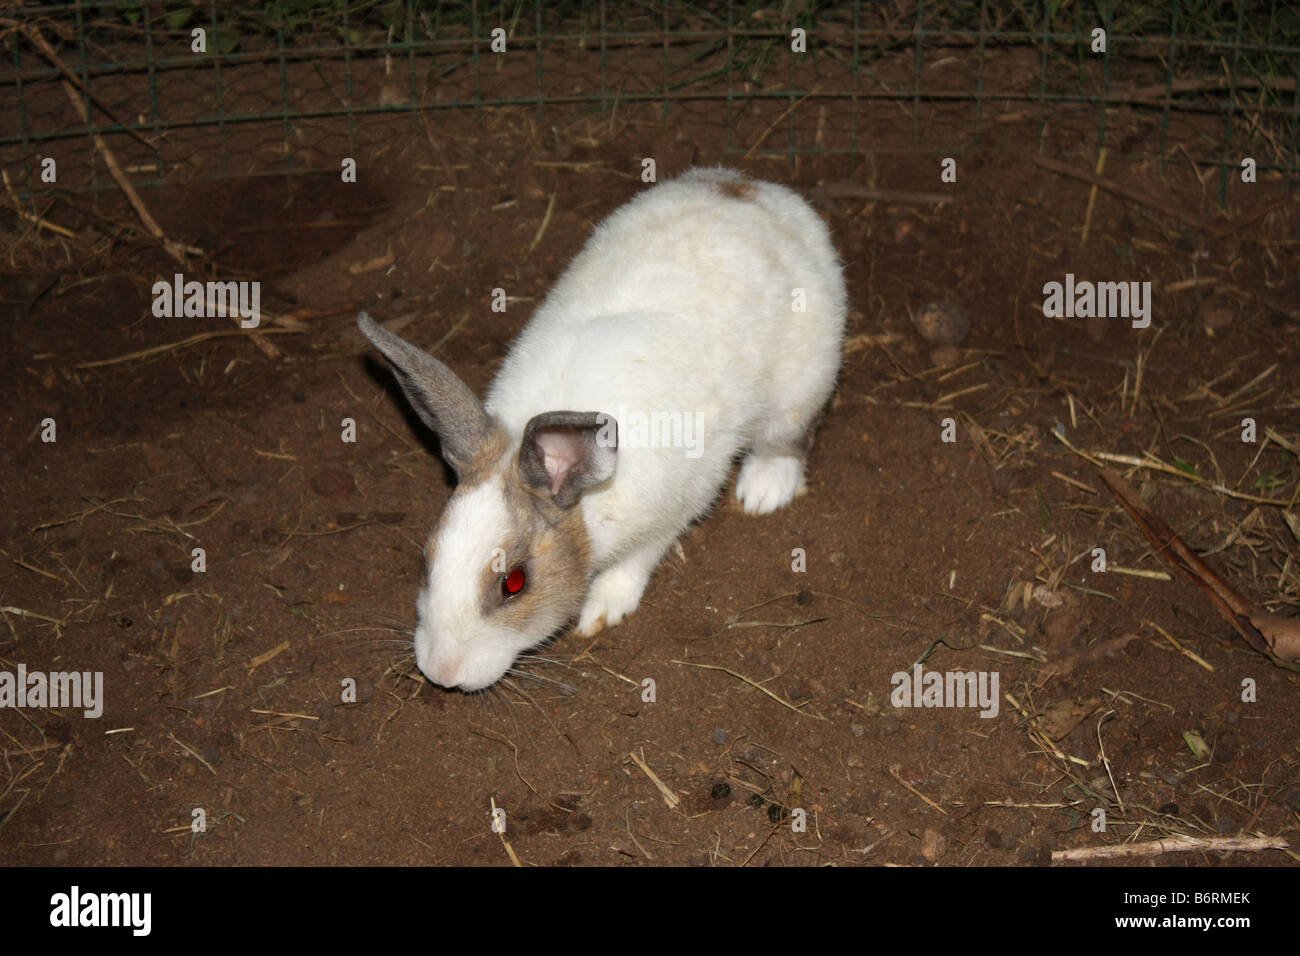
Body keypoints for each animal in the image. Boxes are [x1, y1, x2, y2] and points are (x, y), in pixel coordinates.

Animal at [358, 167, 842, 691]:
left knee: (787, 439)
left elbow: (633, 565)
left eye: (514, 583)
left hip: (800, 387)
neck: (586, 506)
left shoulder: (668, 515)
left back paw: (762, 493)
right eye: (427, 561)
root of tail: (754, 190)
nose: (441, 673)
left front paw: (600, 611)